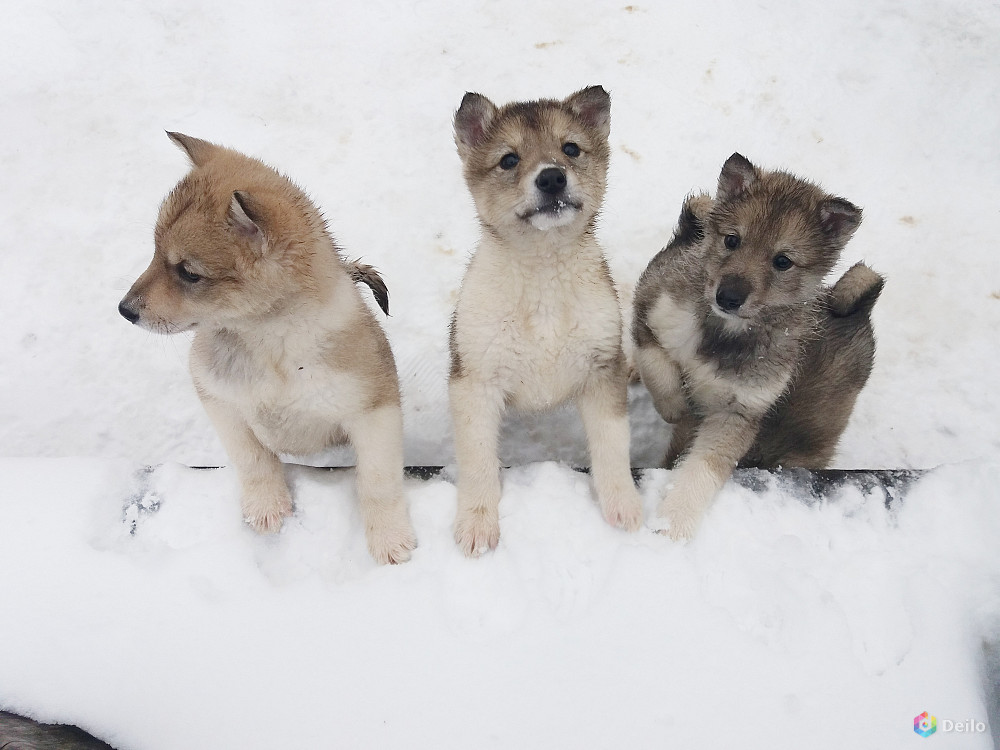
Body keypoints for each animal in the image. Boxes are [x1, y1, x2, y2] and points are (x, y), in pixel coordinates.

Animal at [121, 134, 418, 564]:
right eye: (155, 252)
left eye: (189, 273)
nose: (124, 310)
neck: (271, 343)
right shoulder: (218, 399)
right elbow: (253, 458)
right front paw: (267, 506)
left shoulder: (374, 413)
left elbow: (379, 481)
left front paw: (389, 537)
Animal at [452, 89, 644, 560]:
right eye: (508, 159)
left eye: (570, 149)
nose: (553, 178)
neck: (542, 271)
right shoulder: (475, 381)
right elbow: (478, 459)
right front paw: (477, 525)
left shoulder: (602, 370)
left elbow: (613, 445)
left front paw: (624, 505)